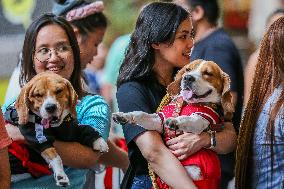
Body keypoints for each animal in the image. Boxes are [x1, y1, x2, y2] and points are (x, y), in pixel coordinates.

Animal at [112, 59, 234, 187]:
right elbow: (141, 114)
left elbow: (187, 118)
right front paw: (124, 116)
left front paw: (175, 121)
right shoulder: (158, 121)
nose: (188, 78)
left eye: (208, 73)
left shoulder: (201, 120)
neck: (188, 103)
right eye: (188, 69)